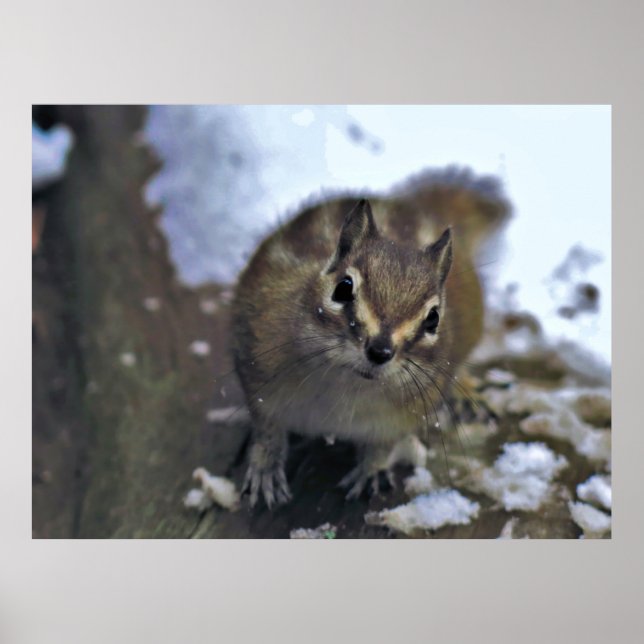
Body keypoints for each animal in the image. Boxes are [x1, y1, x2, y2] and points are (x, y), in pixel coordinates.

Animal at [231, 167, 510, 507]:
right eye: (343, 288)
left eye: (433, 318)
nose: (380, 351)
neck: (347, 384)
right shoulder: (257, 371)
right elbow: (267, 430)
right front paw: (265, 469)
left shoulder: (400, 418)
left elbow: (383, 445)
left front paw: (372, 470)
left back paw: (466, 393)